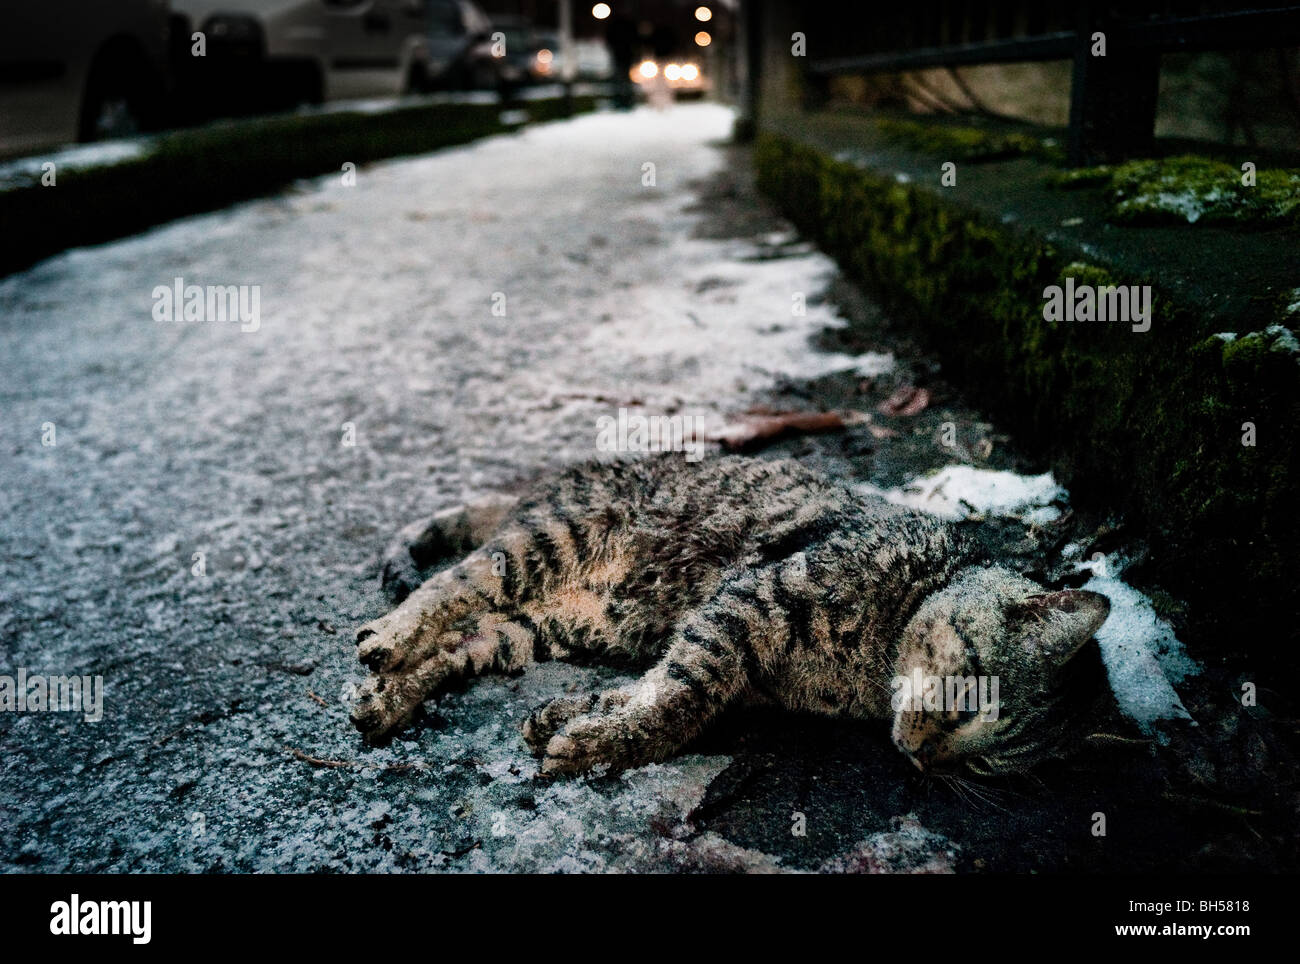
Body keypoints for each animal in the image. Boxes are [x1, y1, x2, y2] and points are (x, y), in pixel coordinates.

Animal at [351, 457, 1112, 779]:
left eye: (983, 767)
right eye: (966, 704)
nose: (923, 760)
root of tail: (550, 478)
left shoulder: (736, 659)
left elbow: (652, 685)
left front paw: (579, 720)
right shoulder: (755, 599)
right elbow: (682, 695)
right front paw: (611, 743)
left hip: (548, 626)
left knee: (464, 644)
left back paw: (388, 697)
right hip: (553, 538)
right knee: (456, 584)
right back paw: (389, 637)